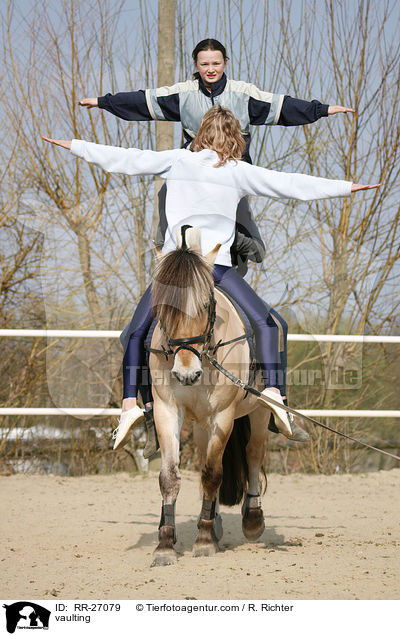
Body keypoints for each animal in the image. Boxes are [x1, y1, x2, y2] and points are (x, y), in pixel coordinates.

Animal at [148, 229, 270, 568]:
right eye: (163, 306)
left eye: (206, 305)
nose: (186, 374)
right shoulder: (166, 410)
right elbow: (169, 477)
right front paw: (165, 545)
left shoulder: (223, 415)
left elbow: (214, 474)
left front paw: (202, 541)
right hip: (201, 425)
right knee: (207, 457)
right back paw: (214, 523)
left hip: (258, 412)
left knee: (253, 453)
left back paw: (252, 519)